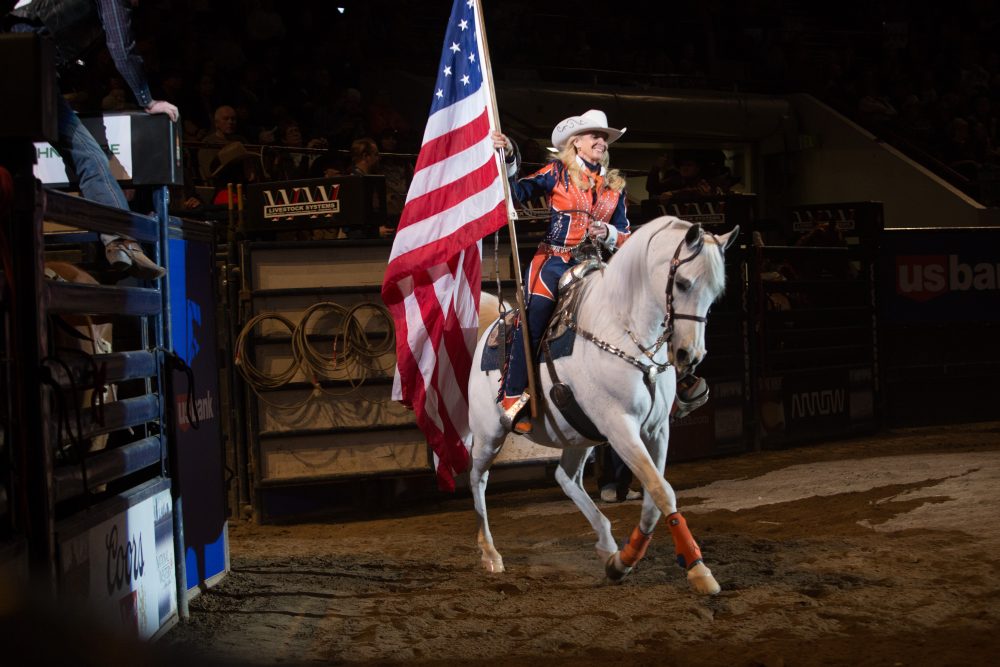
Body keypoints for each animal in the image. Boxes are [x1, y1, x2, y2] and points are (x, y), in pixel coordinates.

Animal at [466, 218, 736, 596]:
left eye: (716, 292)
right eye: (683, 283)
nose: (690, 355)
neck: (623, 331)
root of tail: (494, 324)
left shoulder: (656, 430)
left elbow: (654, 498)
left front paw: (623, 561)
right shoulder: (619, 426)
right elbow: (662, 492)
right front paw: (698, 570)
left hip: (577, 435)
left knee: (566, 478)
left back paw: (607, 544)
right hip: (489, 434)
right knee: (478, 478)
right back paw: (490, 554)